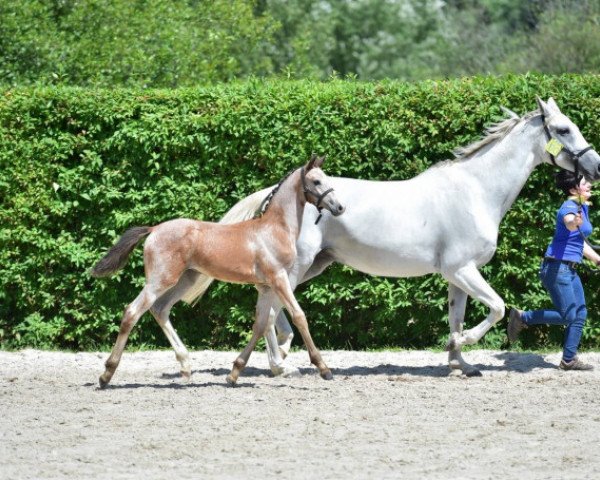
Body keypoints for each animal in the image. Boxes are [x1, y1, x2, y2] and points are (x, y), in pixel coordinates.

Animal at [94, 156, 346, 388]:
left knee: (160, 309)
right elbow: (299, 316)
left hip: (185, 280)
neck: (274, 229)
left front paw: (234, 373)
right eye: (316, 181)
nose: (340, 207)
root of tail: (154, 229)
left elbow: (260, 324)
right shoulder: (279, 279)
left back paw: (185, 366)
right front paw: (324, 369)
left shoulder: (265, 287)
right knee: (132, 312)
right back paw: (106, 375)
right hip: (160, 280)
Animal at [179, 97, 600, 378]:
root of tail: (275, 193)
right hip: (295, 267)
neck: (475, 191)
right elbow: (495, 308)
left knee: (270, 307)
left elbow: (457, 317)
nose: (595, 167)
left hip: (311, 266)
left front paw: (459, 364)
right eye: (563, 129)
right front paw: (461, 346)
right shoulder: (462, 269)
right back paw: (282, 366)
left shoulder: (456, 277)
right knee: (269, 311)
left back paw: (280, 359)